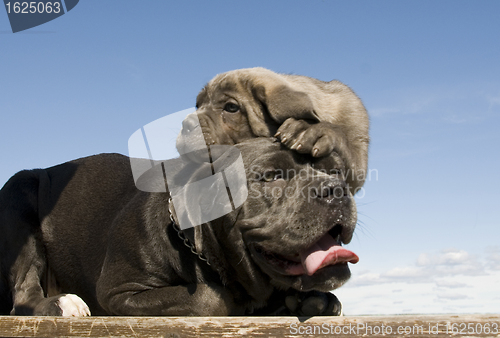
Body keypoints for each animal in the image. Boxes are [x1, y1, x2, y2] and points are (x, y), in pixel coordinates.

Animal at [0, 138, 360, 316]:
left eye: (335, 170)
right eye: (272, 176)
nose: (336, 189)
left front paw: (307, 300)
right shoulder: (119, 290)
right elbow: (211, 297)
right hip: (20, 197)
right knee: (25, 292)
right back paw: (60, 303)